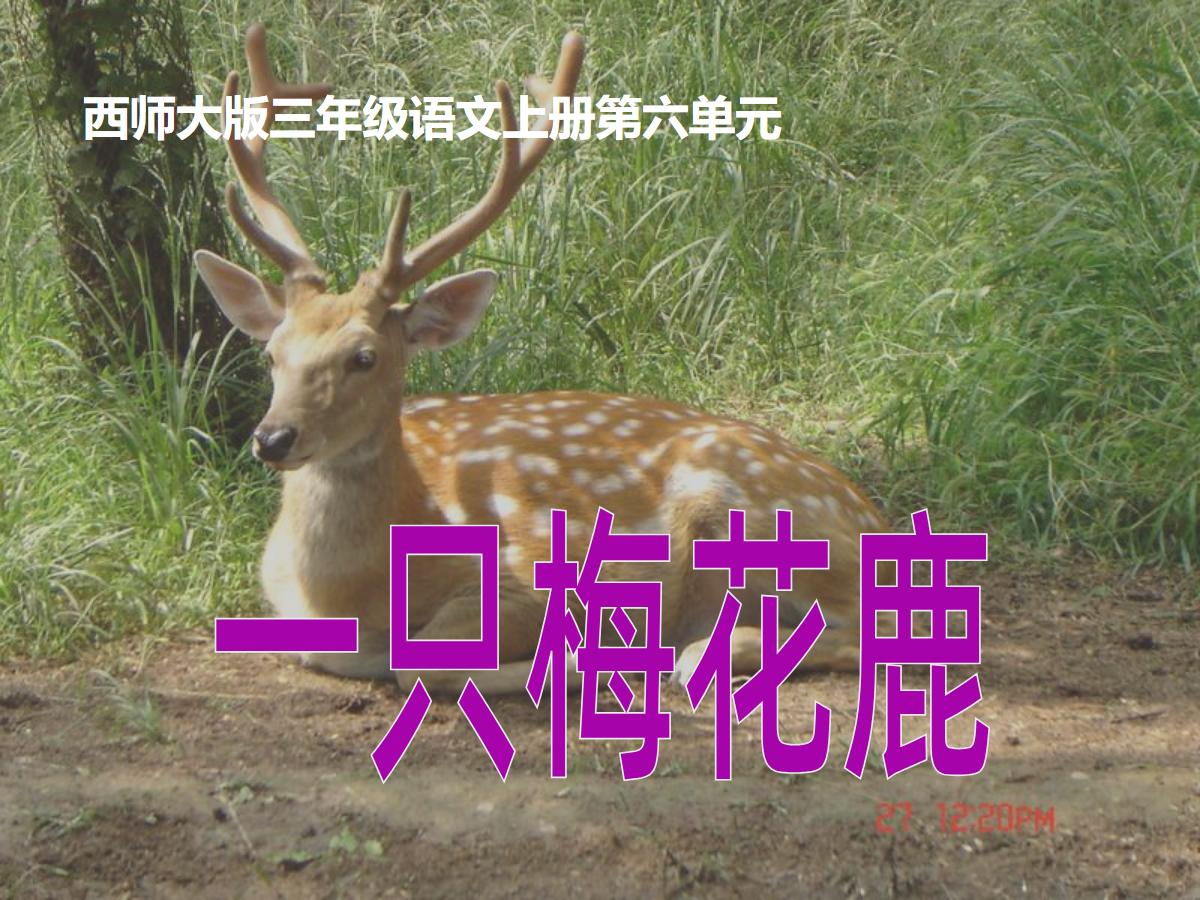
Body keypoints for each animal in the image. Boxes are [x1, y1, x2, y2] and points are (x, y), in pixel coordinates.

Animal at [195, 24, 886, 698]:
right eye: (273, 352)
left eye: (364, 356)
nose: (273, 438)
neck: (349, 597)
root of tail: (871, 516)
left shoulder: (527, 572)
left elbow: (422, 663)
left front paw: (582, 663)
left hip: (767, 516)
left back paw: (690, 655)